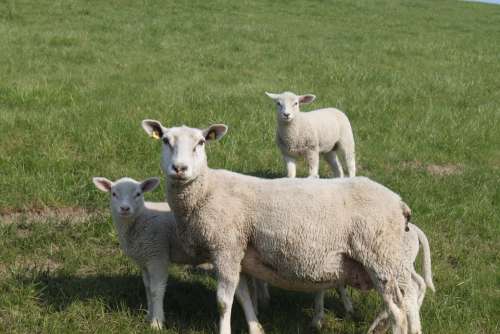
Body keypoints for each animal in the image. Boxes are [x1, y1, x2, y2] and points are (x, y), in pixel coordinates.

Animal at [93, 176, 266, 332]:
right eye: (114, 193)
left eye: (138, 194)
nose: (125, 208)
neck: (140, 220)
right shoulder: (145, 260)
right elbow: (148, 288)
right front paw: (149, 315)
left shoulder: (157, 256)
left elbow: (156, 289)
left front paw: (157, 322)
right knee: (247, 286)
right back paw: (256, 315)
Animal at [143, 120, 420, 334]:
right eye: (165, 140)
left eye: (201, 142)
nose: (180, 169)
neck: (207, 190)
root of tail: (399, 203)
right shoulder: (238, 253)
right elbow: (243, 295)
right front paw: (256, 327)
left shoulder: (225, 247)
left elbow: (223, 301)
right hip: (386, 260)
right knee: (409, 300)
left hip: (380, 256)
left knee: (398, 311)